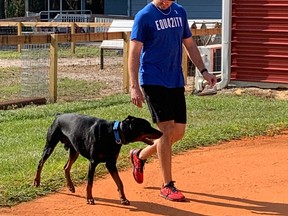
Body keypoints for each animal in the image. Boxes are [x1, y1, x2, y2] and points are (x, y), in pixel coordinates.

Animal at [33, 114, 162, 205]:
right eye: (147, 126)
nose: (161, 132)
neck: (113, 134)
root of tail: (58, 115)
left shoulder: (111, 163)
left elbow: (120, 182)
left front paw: (123, 199)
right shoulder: (93, 163)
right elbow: (89, 183)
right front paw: (89, 199)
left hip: (75, 150)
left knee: (66, 167)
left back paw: (70, 186)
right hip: (50, 145)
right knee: (41, 163)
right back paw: (36, 181)